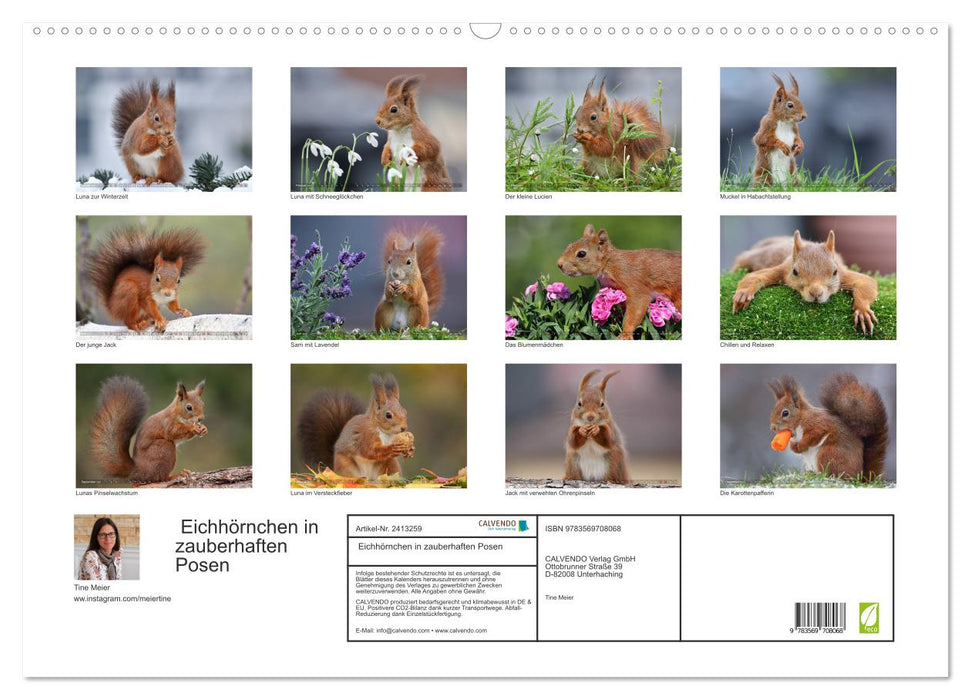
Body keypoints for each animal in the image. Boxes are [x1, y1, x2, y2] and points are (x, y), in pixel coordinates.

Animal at [731, 229, 879, 334]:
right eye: (795, 271)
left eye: (835, 272)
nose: (816, 293)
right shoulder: (784, 269)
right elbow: (754, 276)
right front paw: (744, 294)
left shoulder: (843, 274)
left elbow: (866, 282)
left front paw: (862, 310)